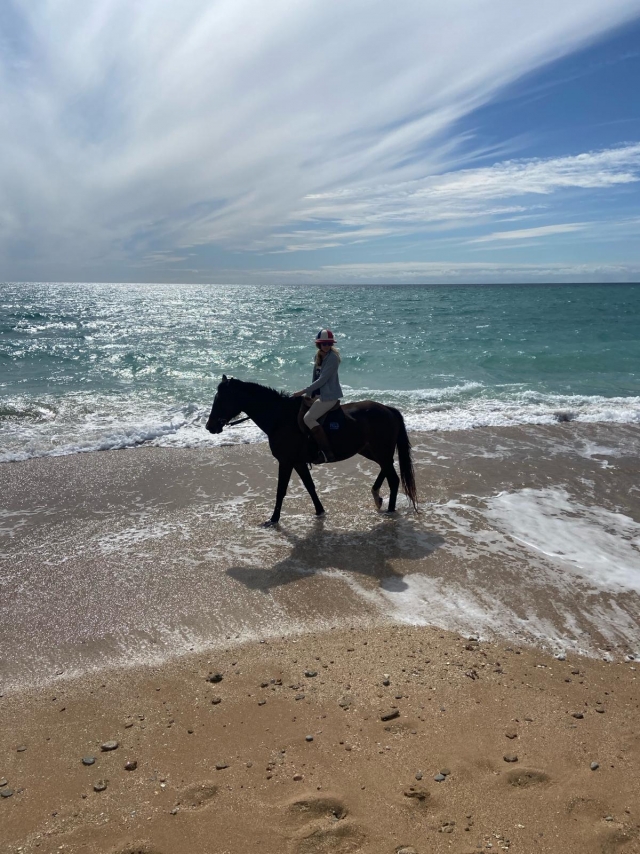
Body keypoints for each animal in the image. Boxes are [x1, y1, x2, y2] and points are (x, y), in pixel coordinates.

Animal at [205, 375, 418, 527]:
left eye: (221, 399)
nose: (209, 426)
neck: (280, 418)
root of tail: (388, 409)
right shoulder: (298, 462)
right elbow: (310, 487)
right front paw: (319, 511)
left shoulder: (286, 461)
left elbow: (281, 490)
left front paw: (273, 519)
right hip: (371, 451)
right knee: (386, 469)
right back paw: (377, 496)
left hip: (379, 451)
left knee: (393, 478)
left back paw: (390, 510)